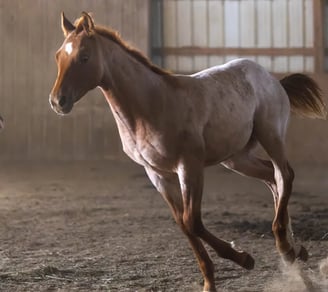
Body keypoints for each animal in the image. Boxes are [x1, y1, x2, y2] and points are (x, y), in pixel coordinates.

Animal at [49, 12, 326, 290]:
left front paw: (243, 258)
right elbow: (183, 224)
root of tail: (272, 79)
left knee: (284, 175)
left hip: (271, 135)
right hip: (236, 158)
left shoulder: (189, 166)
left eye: (84, 57)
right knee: (272, 177)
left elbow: (193, 221)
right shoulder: (157, 174)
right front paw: (210, 282)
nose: (57, 101)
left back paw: (285, 246)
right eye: (58, 56)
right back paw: (294, 249)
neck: (151, 104)